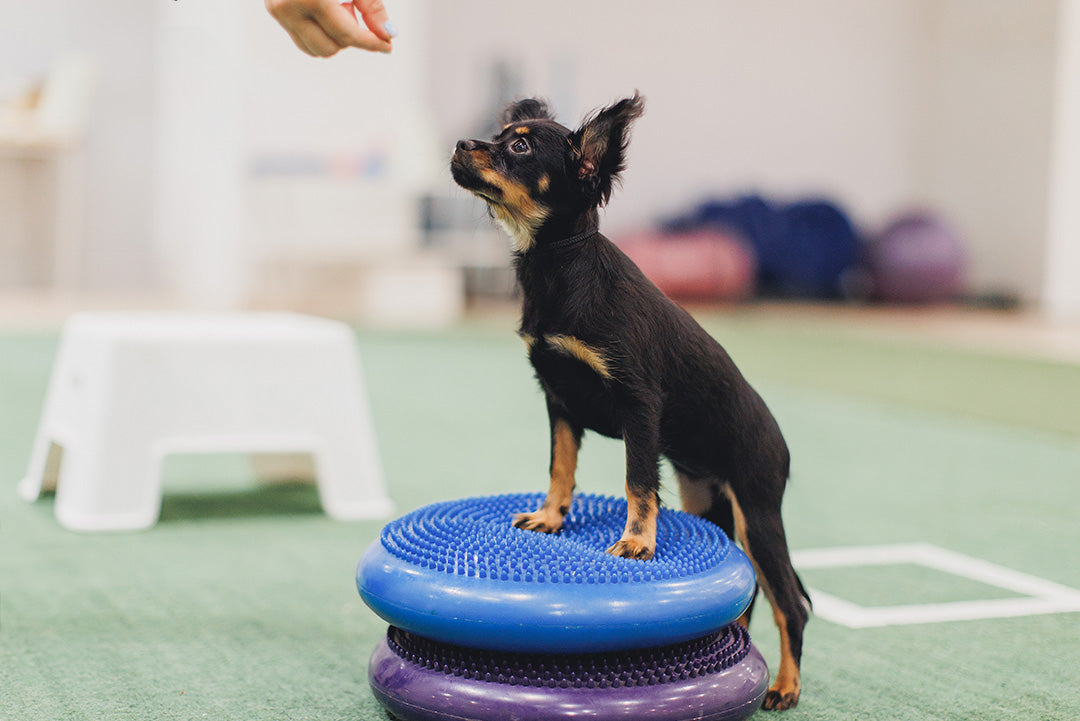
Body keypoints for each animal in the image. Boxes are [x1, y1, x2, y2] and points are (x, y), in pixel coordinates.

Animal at [449, 91, 812, 708]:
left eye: (518, 146)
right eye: (500, 136)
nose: (457, 145)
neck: (560, 264)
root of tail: (780, 443)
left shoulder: (640, 406)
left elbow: (637, 480)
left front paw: (638, 541)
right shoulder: (559, 400)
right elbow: (561, 467)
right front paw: (551, 517)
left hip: (758, 513)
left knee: (791, 603)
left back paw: (785, 685)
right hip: (708, 499)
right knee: (757, 598)